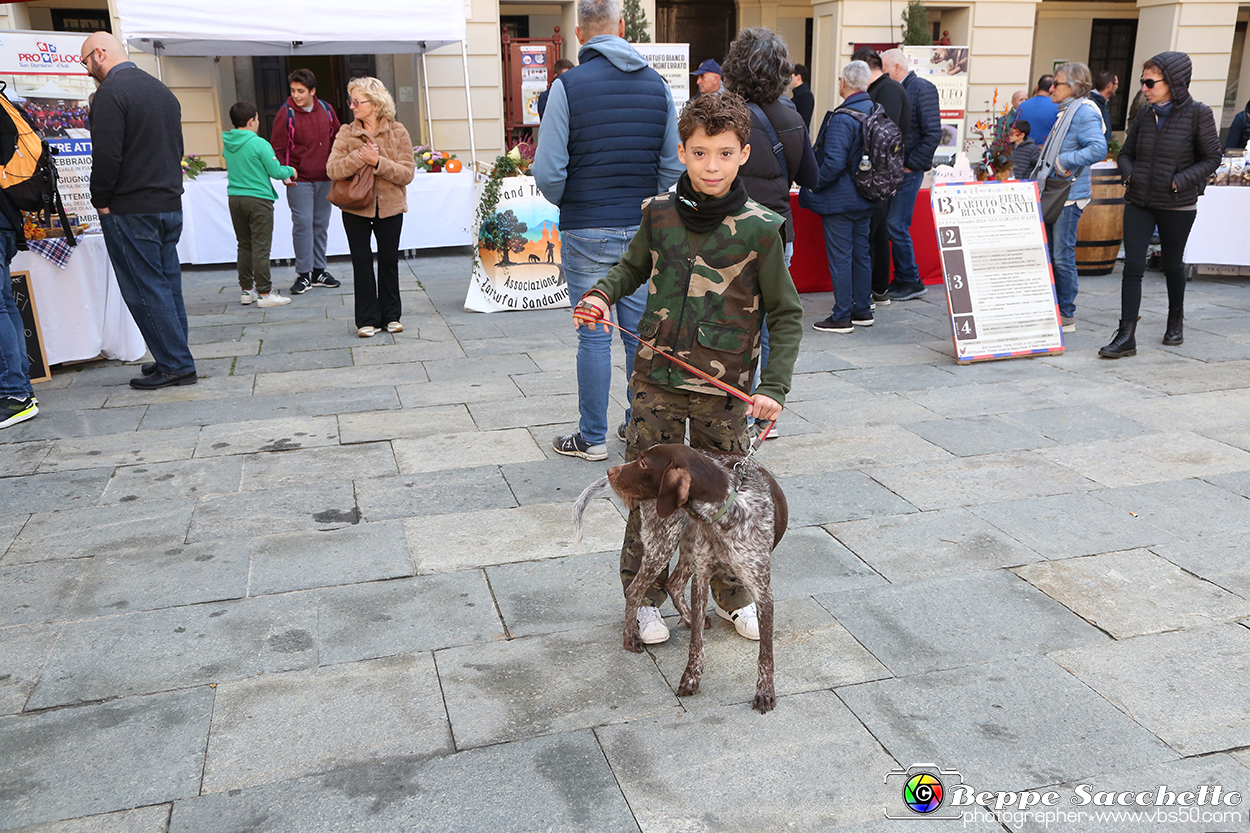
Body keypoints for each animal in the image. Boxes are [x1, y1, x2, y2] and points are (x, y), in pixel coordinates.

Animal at [572, 445, 785, 710]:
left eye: (644, 463)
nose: (610, 470)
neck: (723, 510)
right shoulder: (702, 577)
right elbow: (696, 644)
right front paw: (691, 678)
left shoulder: (762, 590)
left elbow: (766, 654)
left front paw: (765, 692)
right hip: (664, 542)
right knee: (636, 589)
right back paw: (632, 636)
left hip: (684, 548)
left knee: (672, 584)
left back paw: (691, 619)